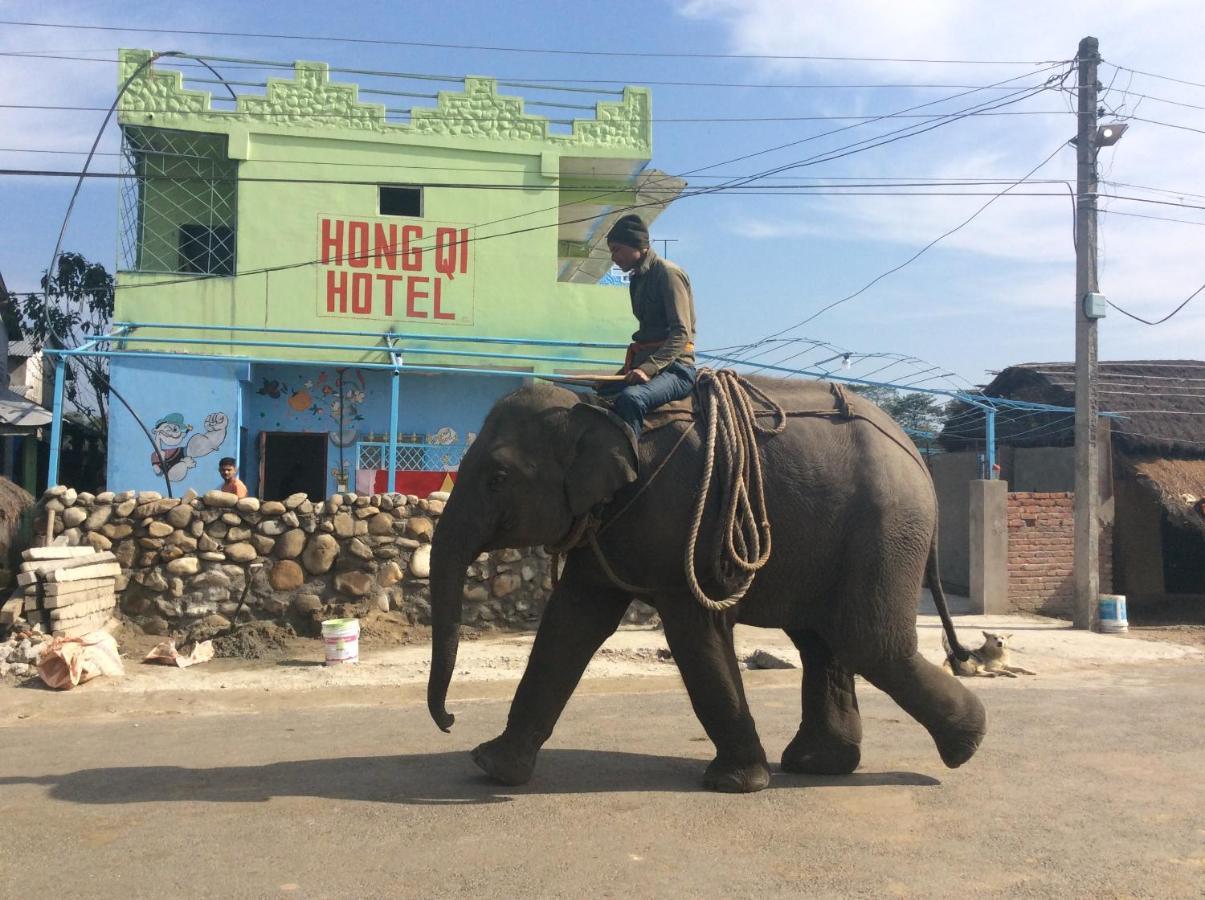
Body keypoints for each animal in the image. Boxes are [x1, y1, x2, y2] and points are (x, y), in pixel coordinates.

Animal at [428, 375, 983, 790]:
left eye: (498, 478)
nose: (449, 721)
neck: (599, 408)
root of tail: (917, 455)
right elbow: (570, 624)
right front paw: (491, 766)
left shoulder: (684, 524)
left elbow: (695, 631)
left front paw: (734, 783)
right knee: (823, 641)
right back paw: (820, 765)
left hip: (884, 529)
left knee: (867, 642)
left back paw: (966, 745)